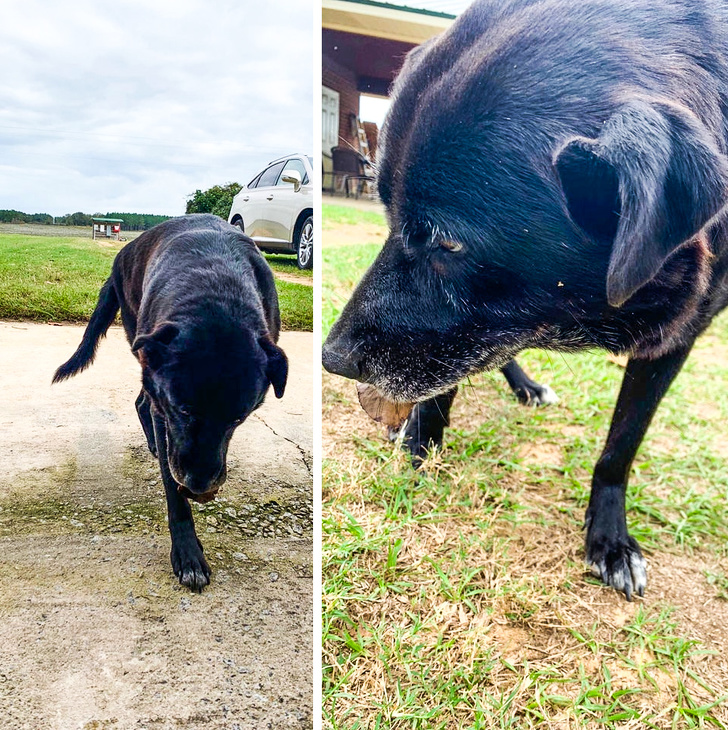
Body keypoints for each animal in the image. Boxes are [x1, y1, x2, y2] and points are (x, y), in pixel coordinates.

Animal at [54, 213, 288, 588]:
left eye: (239, 418)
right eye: (184, 410)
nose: (199, 487)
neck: (215, 292)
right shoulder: (168, 414)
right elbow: (171, 488)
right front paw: (188, 552)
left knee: (141, 402)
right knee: (145, 403)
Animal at [322, 0, 728, 600]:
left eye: (448, 241)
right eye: (387, 213)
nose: (332, 360)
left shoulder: (680, 334)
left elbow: (621, 445)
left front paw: (609, 538)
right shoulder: (456, 337)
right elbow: (443, 382)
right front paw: (421, 443)